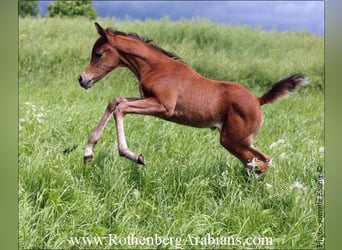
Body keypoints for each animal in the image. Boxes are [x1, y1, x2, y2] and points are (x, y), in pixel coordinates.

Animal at [79, 23, 308, 174]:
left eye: (98, 54)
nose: (82, 79)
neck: (156, 67)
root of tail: (258, 100)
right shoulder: (147, 98)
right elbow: (116, 101)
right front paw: (88, 152)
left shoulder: (164, 107)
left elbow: (121, 108)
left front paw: (133, 156)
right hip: (241, 141)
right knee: (261, 160)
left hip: (232, 140)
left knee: (259, 163)